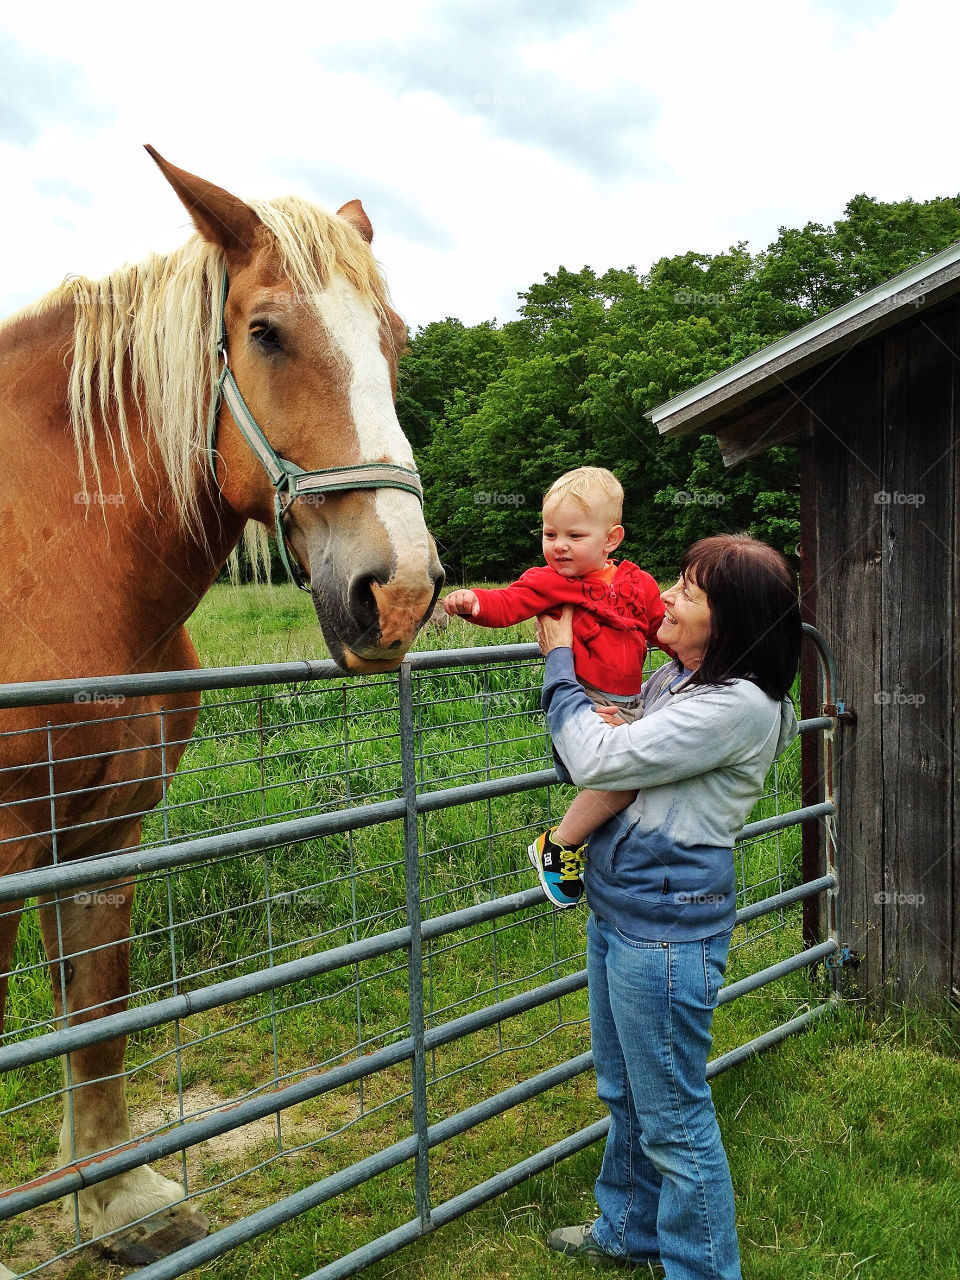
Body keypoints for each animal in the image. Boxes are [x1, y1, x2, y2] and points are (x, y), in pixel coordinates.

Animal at [0, 149, 442, 1269]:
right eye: (267, 333)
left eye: (395, 339)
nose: (399, 590)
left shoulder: (104, 837)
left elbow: (99, 1018)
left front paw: (122, 1204)